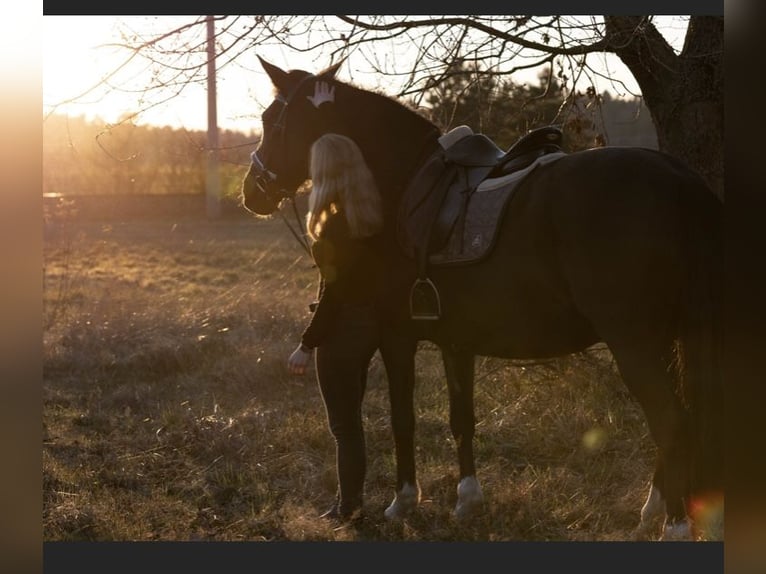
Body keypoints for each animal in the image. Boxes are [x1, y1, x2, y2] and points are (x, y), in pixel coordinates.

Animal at [240, 58, 723, 540]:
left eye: (269, 119)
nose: (251, 190)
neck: (400, 186)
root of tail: (681, 180)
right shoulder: (457, 341)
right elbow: (462, 419)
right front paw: (467, 500)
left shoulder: (397, 335)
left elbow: (402, 418)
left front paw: (403, 502)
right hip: (668, 337)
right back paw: (653, 509)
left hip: (633, 342)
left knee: (671, 421)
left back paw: (674, 525)